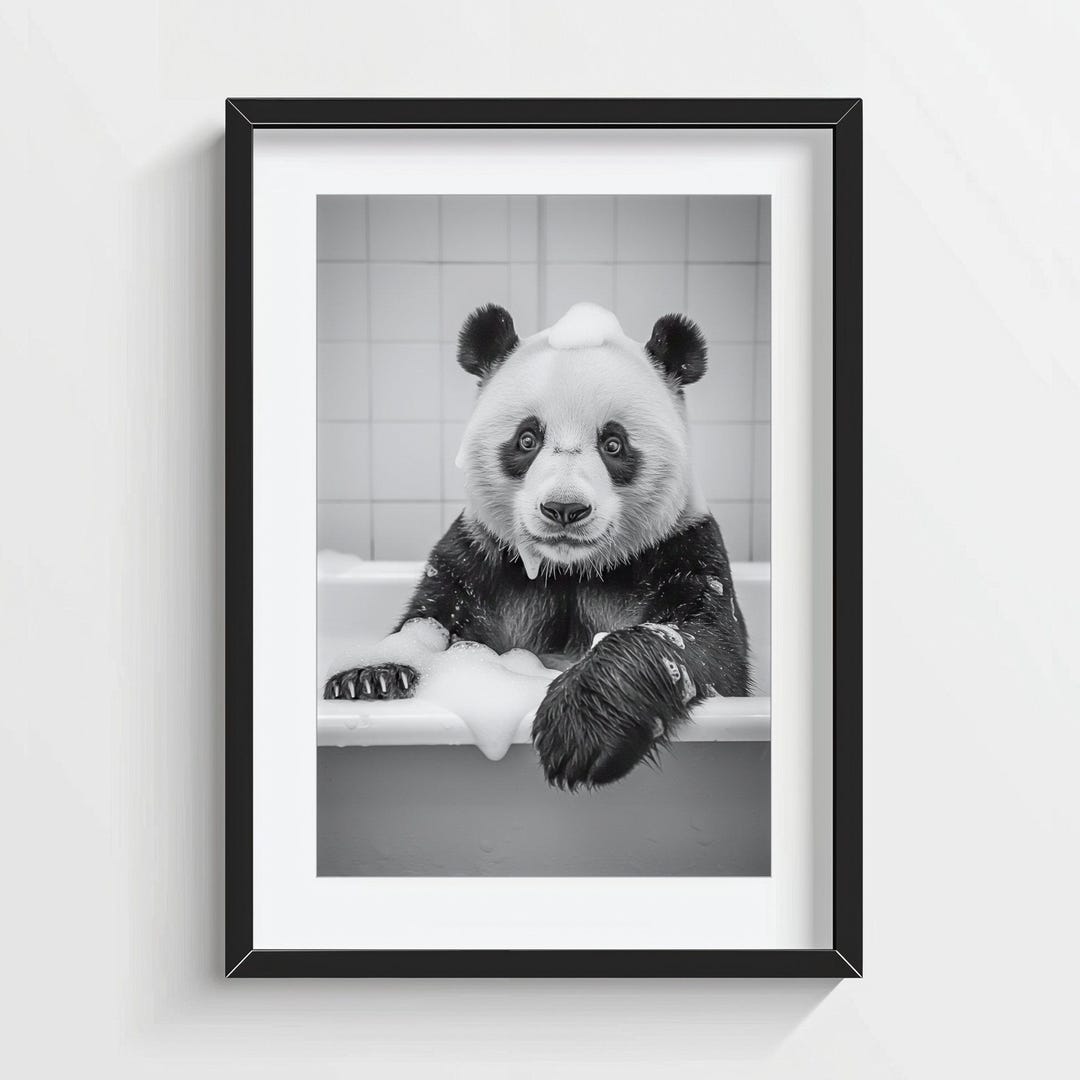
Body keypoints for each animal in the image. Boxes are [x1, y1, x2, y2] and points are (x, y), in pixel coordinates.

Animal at [324, 301, 750, 789]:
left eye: (613, 443)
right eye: (527, 439)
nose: (564, 508)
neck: (570, 569)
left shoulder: (682, 547)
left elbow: (703, 643)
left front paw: (579, 729)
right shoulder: (481, 558)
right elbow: (429, 621)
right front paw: (368, 676)